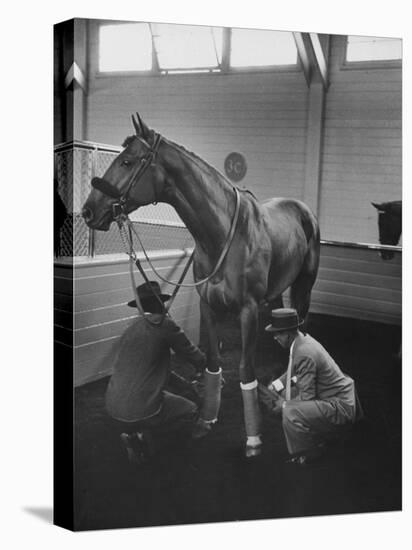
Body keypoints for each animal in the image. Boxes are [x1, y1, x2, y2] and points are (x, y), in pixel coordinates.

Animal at [83, 113, 322, 458]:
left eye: (127, 161)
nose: (89, 210)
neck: (223, 235)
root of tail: (303, 210)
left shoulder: (248, 310)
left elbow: (246, 370)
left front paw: (253, 439)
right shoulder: (207, 306)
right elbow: (212, 363)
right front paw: (206, 421)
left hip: (305, 285)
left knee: (301, 326)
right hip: (277, 292)